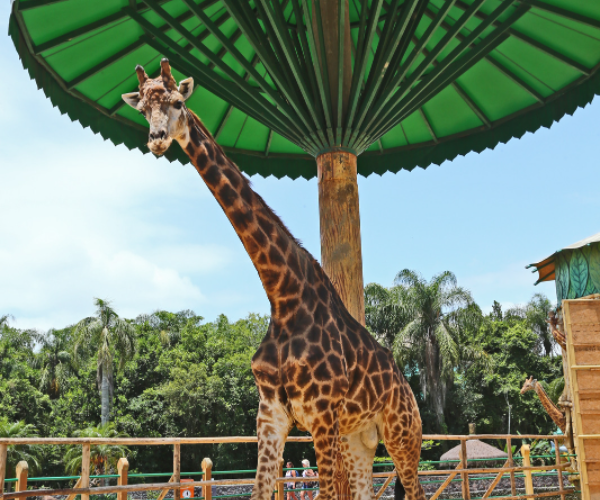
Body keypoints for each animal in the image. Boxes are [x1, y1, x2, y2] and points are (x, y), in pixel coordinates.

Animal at [120, 60, 422, 500]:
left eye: (177, 102)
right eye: (143, 108)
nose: (157, 140)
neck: (282, 296)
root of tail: (409, 387)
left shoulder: (322, 414)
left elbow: (325, 493)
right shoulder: (270, 413)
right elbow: (260, 489)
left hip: (403, 434)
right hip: (360, 439)